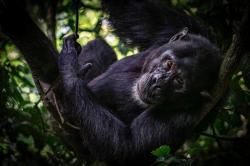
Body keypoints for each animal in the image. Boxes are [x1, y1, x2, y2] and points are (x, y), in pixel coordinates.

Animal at [56, 0, 221, 165]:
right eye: (169, 64)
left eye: (179, 81)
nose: (158, 82)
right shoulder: (178, 26)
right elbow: (130, 8)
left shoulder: (184, 117)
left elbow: (126, 147)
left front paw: (69, 66)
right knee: (100, 45)